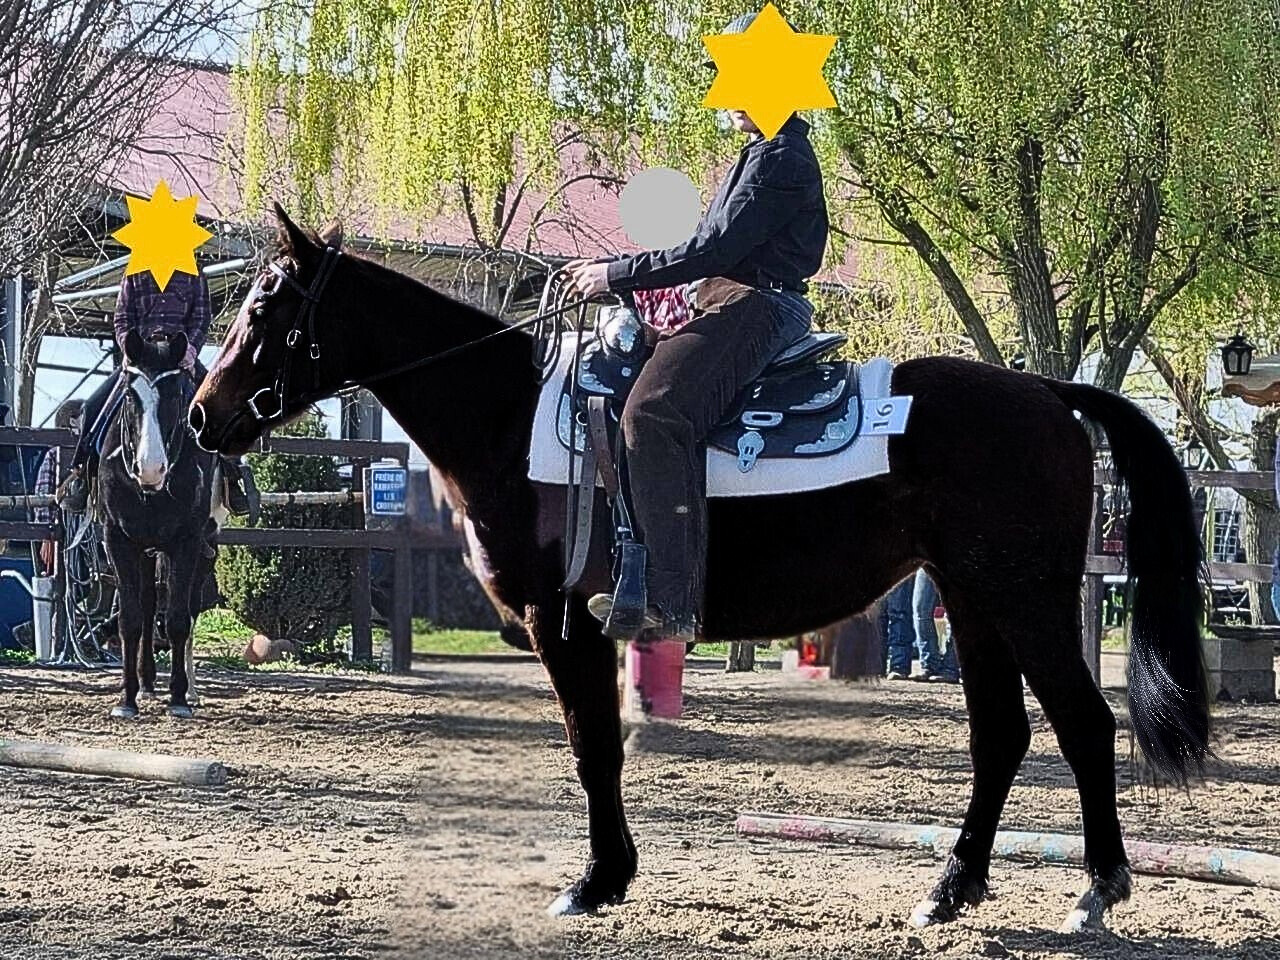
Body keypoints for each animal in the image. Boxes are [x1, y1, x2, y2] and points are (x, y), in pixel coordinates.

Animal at [99, 330, 218, 719]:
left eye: (177, 395)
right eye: (128, 394)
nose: (151, 469)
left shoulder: (187, 542)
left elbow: (180, 618)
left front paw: (178, 698)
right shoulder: (118, 539)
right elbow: (130, 618)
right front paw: (127, 699)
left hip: (202, 550)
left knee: (189, 611)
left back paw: (190, 690)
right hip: (146, 550)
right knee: (150, 604)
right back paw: (147, 682)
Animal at [189, 205, 1210, 934]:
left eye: (265, 307)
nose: (203, 417)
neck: (511, 419)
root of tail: (1047, 393)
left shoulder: (564, 624)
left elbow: (594, 749)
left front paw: (595, 882)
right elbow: (599, 746)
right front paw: (609, 876)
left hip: (1022, 599)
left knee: (1082, 724)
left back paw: (1097, 892)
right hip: (971, 600)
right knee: (1000, 737)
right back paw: (949, 890)